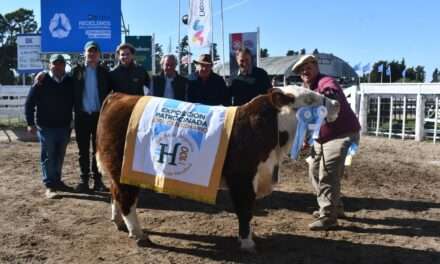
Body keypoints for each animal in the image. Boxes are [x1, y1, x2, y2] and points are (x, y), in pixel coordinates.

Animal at [94, 86, 338, 252]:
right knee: (125, 198)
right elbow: (245, 210)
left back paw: (119, 223)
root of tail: (119, 96)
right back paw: (138, 234)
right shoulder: (242, 178)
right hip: (121, 169)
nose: (336, 103)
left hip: (118, 172)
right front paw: (247, 242)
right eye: (309, 98)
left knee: (115, 194)